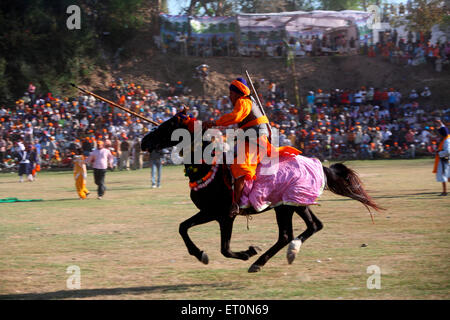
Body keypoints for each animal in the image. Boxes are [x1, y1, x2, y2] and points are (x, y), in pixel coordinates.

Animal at [142, 111, 384, 274]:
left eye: (168, 125)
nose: (144, 141)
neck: (207, 167)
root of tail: (318, 164)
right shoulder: (208, 212)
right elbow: (183, 227)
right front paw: (201, 254)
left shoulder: (224, 215)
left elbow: (225, 248)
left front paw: (247, 252)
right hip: (295, 204)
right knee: (312, 226)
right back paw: (286, 253)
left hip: (287, 206)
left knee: (288, 234)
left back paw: (262, 260)